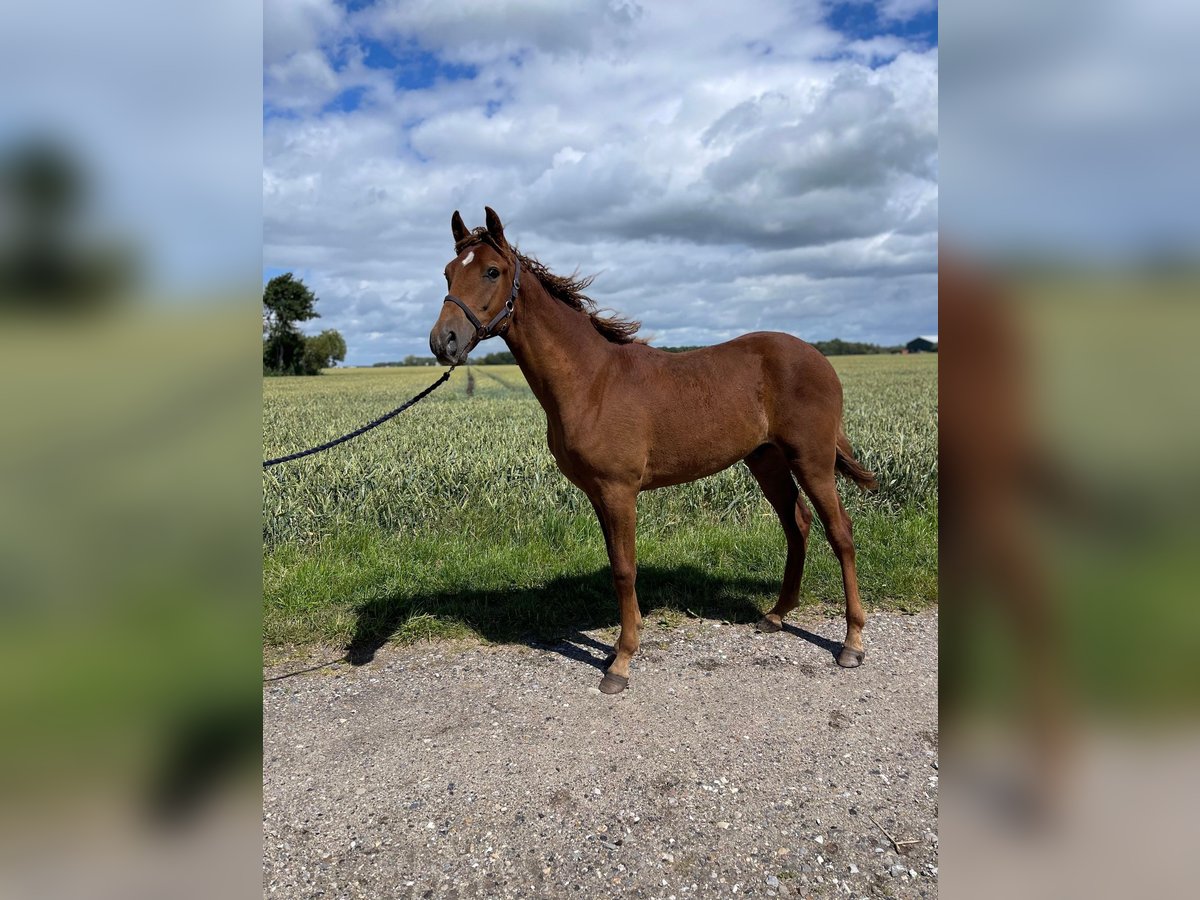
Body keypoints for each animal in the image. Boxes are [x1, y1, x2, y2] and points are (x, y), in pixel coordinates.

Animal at [427, 207, 878, 696]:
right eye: (448, 272)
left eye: (492, 271)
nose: (443, 341)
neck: (591, 380)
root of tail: (819, 358)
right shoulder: (599, 494)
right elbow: (615, 565)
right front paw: (620, 647)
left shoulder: (619, 490)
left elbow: (626, 569)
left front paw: (621, 664)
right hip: (767, 460)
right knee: (797, 524)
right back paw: (776, 615)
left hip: (811, 461)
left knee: (840, 532)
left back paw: (852, 643)